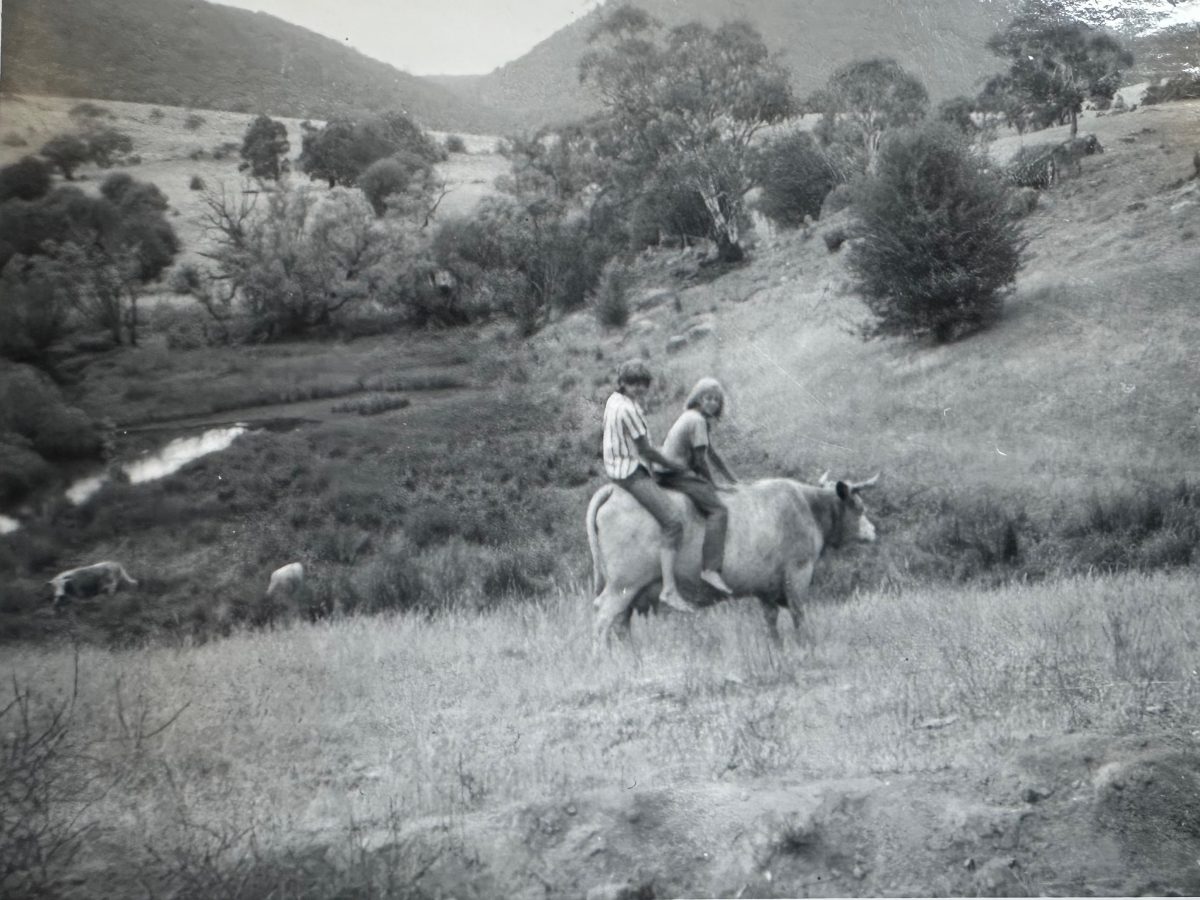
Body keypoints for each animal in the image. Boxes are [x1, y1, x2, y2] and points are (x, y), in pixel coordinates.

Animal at [588, 472, 883, 648]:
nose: (873, 531)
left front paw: (776, 648)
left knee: (620, 623)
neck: (807, 506)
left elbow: (770, 620)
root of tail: (615, 491)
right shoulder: (798, 573)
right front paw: (805, 645)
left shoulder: (767, 586)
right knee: (603, 618)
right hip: (623, 585)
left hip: (630, 591)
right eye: (860, 507)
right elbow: (799, 613)